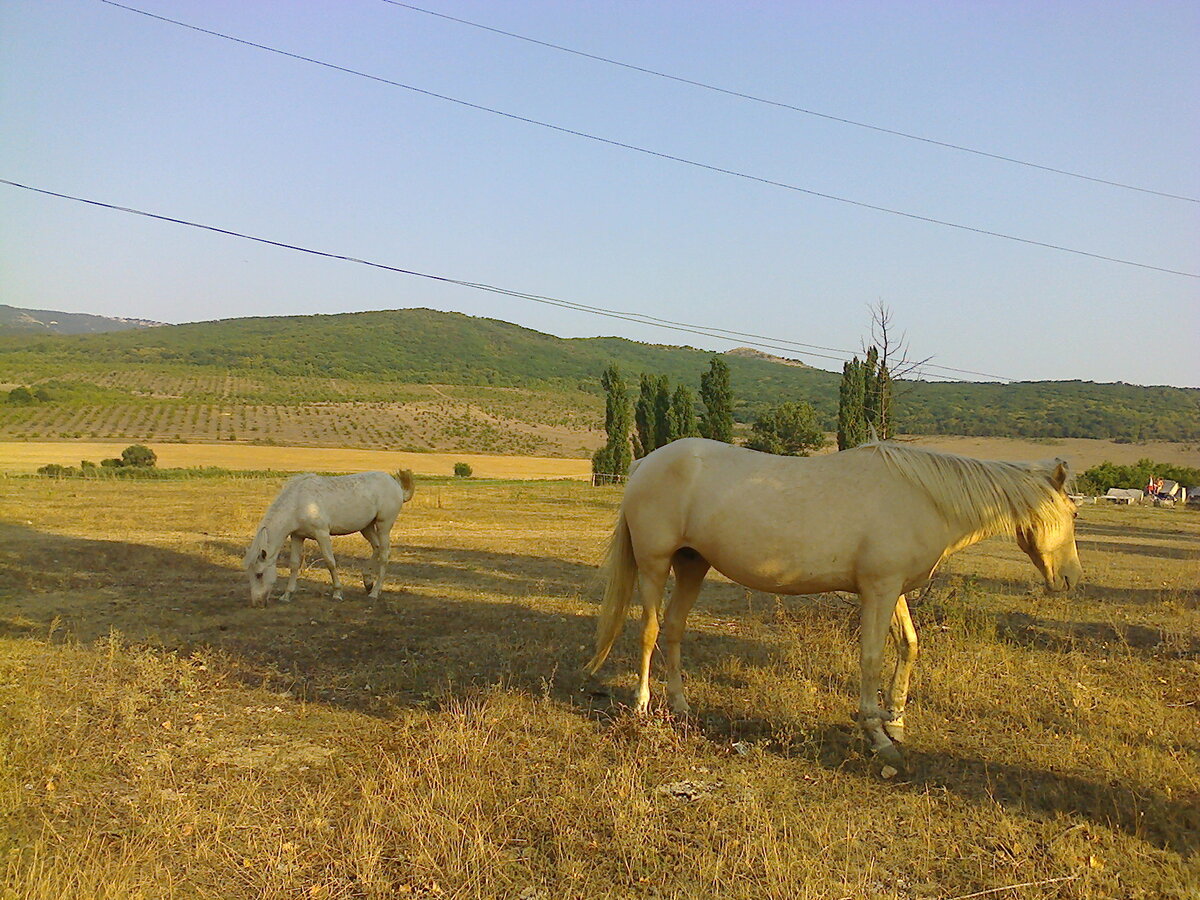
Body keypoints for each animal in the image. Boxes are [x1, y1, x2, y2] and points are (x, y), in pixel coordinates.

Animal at [241, 468, 415, 609]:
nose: (257, 603)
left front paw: (337, 593)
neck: (298, 502)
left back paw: (375, 592)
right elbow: (294, 564)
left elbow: (330, 561)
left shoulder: (322, 534)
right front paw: (287, 595)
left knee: (385, 554)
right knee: (376, 547)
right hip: (367, 527)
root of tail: (396, 486)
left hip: (383, 526)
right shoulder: (297, 536)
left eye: (259, 574)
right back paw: (367, 583)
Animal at [585, 439, 1084, 768]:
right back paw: (643, 706)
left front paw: (896, 720)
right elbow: (872, 657)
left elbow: (908, 646)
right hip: (655, 564)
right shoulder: (879, 590)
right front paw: (877, 734)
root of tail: (645, 462)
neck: (923, 497)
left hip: (693, 564)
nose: (1071, 580)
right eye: (1075, 513)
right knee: (649, 630)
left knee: (673, 629)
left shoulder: (891, 589)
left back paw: (682, 706)